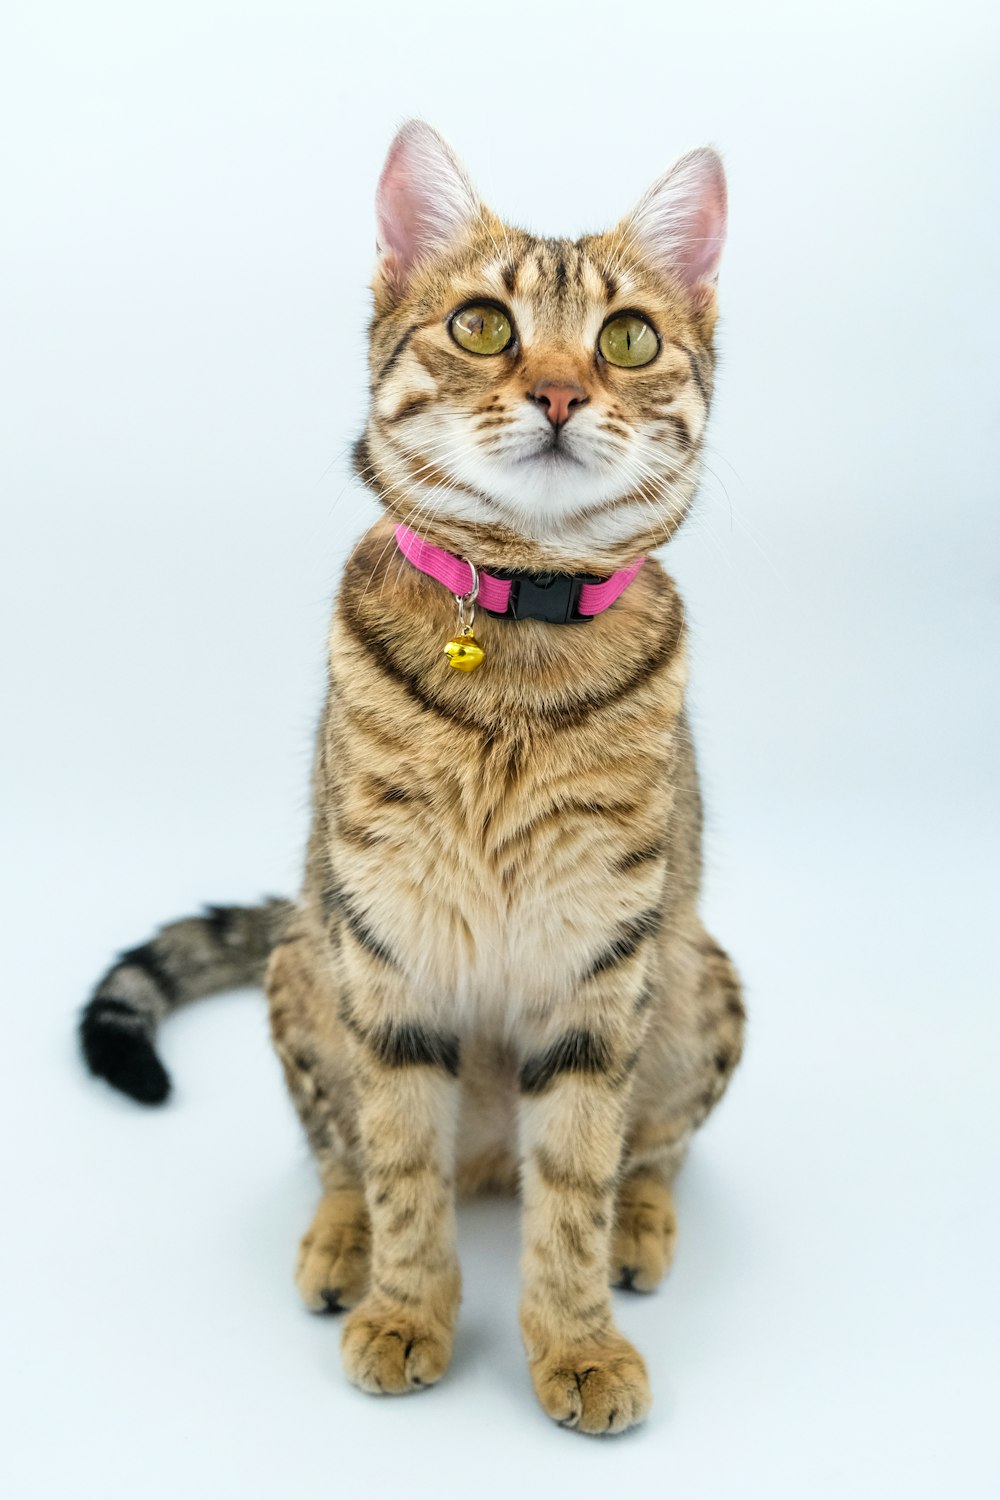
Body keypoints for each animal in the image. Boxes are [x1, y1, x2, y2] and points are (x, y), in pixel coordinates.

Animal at [82, 123, 743, 1434]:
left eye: (626, 339)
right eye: (484, 325)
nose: (558, 392)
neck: (519, 658)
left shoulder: (599, 962)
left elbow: (576, 1178)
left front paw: (576, 1340)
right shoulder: (386, 944)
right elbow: (397, 1165)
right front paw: (406, 1309)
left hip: (697, 976)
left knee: (651, 1150)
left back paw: (639, 1230)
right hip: (306, 961)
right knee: (342, 1151)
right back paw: (342, 1245)